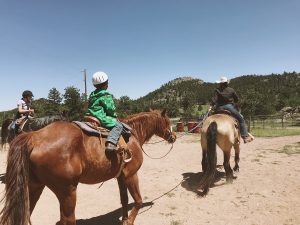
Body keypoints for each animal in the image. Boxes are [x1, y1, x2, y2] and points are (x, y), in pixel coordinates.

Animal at [0, 109, 176, 225]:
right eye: (167, 122)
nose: (173, 136)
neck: (132, 136)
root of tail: (33, 137)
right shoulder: (131, 175)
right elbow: (138, 200)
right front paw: (129, 221)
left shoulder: (120, 177)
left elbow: (124, 199)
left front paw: (125, 219)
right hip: (67, 191)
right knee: (68, 220)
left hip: (34, 187)